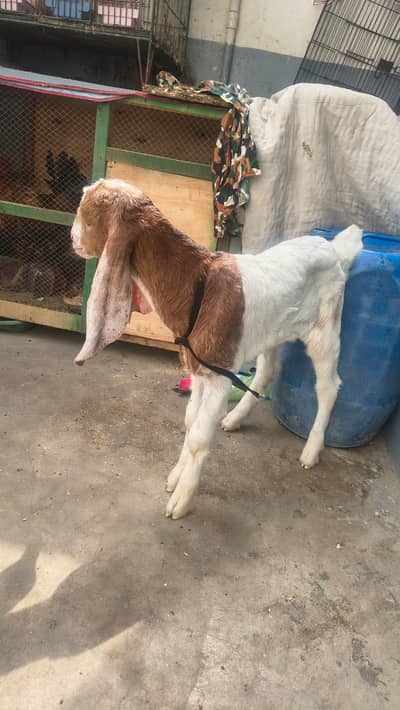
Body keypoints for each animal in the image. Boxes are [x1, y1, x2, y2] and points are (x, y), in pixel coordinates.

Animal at [71, 178, 362, 519]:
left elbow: (198, 436)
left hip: (325, 327)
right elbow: (190, 421)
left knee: (329, 386)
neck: (197, 284)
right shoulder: (200, 369)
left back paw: (311, 450)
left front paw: (181, 500)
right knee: (266, 371)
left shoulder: (219, 374)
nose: (72, 238)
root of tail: (333, 249)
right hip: (272, 329)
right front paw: (175, 476)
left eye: (87, 213)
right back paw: (235, 418)